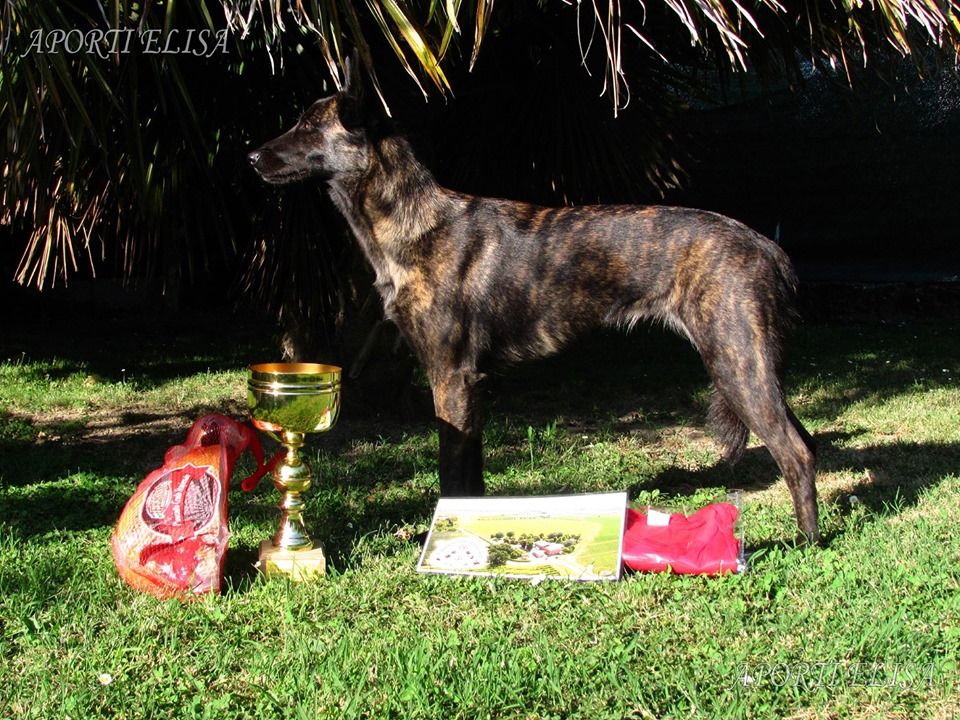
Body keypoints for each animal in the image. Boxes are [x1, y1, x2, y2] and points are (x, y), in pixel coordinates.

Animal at [248, 66, 816, 540]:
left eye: (307, 126)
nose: (252, 157)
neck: (414, 222)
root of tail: (769, 247)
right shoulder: (468, 385)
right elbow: (470, 474)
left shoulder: (450, 377)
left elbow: (452, 472)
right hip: (752, 366)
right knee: (804, 441)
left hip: (737, 363)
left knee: (795, 452)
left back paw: (805, 541)